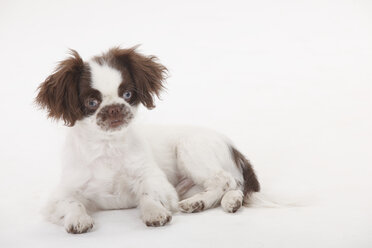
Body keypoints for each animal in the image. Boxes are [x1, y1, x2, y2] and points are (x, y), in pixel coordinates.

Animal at [36, 47, 260, 234]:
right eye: (92, 102)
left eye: (127, 94)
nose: (114, 108)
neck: (109, 146)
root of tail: (233, 147)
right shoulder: (61, 194)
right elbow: (73, 202)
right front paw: (78, 219)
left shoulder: (155, 180)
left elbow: (147, 193)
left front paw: (154, 212)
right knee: (234, 185)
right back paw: (218, 202)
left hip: (190, 148)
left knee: (228, 180)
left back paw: (203, 202)